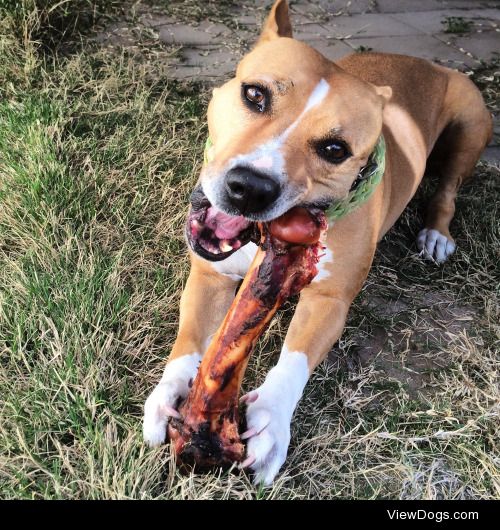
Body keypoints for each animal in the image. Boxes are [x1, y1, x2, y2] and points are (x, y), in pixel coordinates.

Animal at [142, 0, 492, 482]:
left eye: (334, 150)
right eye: (255, 95)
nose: (250, 188)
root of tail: (432, 64)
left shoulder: (329, 299)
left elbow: (295, 358)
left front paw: (271, 422)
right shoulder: (210, 276)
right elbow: (191, 338)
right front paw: (168, 393)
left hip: (471, 125)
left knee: (448, 189)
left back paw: (437, 234)